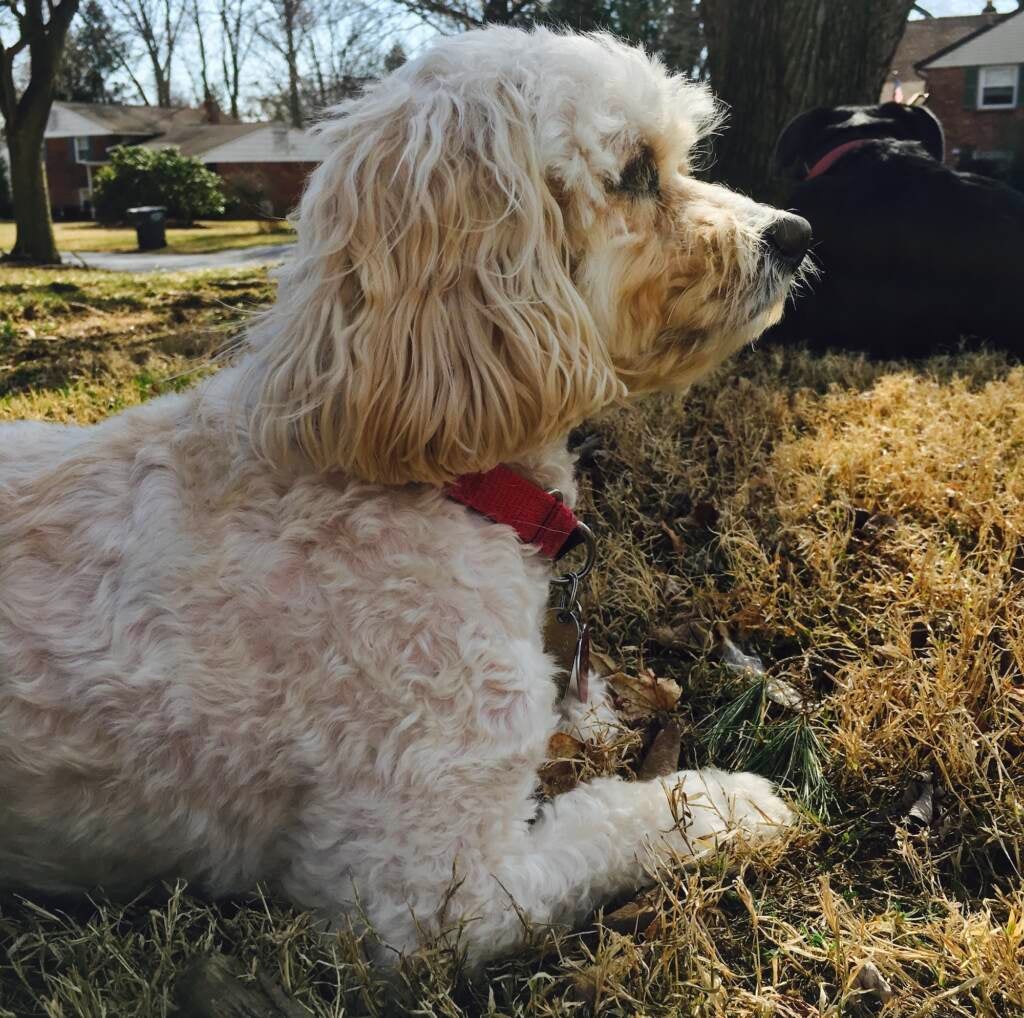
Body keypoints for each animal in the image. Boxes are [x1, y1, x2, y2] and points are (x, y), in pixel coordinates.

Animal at [4, 27, 811, 966]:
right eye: (637, 171)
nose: (796, 232)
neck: (441, 479)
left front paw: (600, 716)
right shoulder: (428, 887)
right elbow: (615, 820)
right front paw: (731, 802)